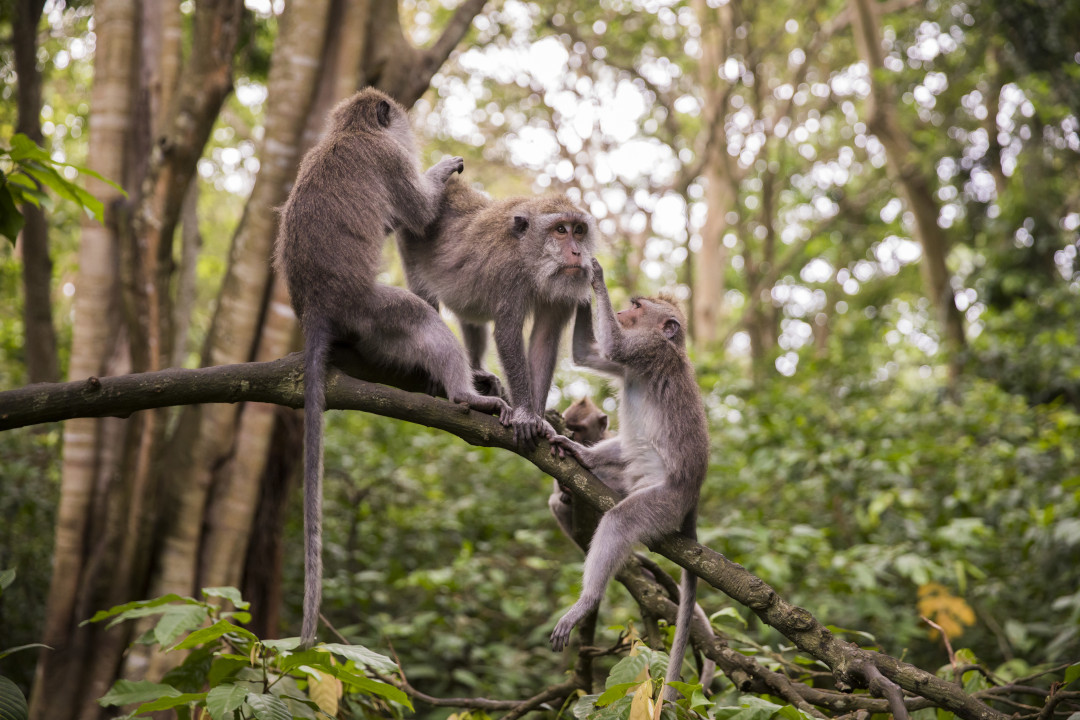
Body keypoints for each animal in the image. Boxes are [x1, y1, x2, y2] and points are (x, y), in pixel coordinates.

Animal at [274, 90, 509, 647]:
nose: (412, 133)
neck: (349, 132)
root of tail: (316, 311)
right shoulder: (388, 160)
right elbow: (420, 215)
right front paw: (441, 169)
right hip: (369, 310)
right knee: (418, 316)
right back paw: (466, 395)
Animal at [397, 177, 600, 446]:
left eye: (578, 230)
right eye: (560, 230)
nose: (577, 252)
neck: (529, 257)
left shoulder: (565, 284)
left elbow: (544, 340)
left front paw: (539, 418)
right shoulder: (508, 271)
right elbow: (507, 333)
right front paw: (525, 414)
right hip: (411, 241)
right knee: (424, 297)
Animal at [548, 257, 708, 699]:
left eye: (637, 306)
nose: (620, 311)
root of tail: (692, 498)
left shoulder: (645, 350)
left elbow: (615, 348)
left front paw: (594, 273)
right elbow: (588, 354)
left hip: (663, 502)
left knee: (621, 519)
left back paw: (587, 601)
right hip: (625, 482)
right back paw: (580, 465)